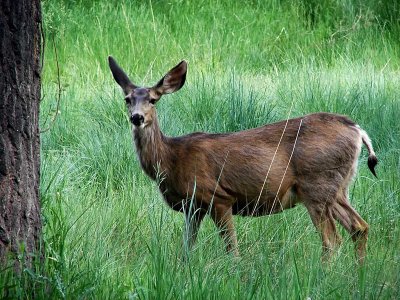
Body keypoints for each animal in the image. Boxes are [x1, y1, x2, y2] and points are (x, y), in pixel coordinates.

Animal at [108, 56, 376, 262]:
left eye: (153, 99)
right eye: (127, 99)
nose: (137, 117)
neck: (171, 159)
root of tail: (357, 130)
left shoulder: (217, 197)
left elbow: (232, 251)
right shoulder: (193, 206)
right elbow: (187, 249)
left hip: (316, 184)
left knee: (332, 240)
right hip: (337, 187)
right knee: (359, 227)